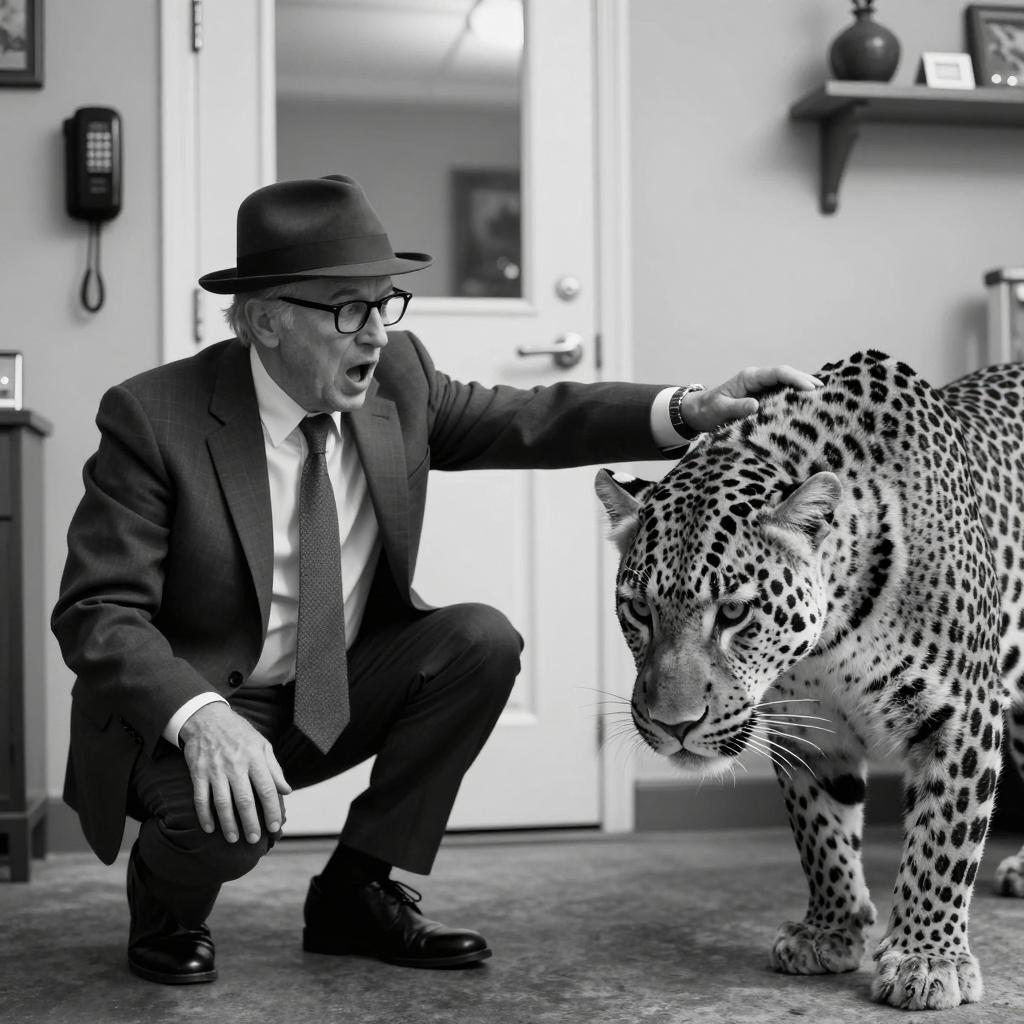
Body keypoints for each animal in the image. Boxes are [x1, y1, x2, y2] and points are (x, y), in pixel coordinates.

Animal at [595, 349, 1024, 1011]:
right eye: (639, 609)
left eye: (734, 612)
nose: (675, 726)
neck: (832, 637)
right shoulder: (805, 726)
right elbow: (821, 832)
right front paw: (831, 930)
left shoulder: (962, 709)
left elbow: (944, 837)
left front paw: (928, 958)